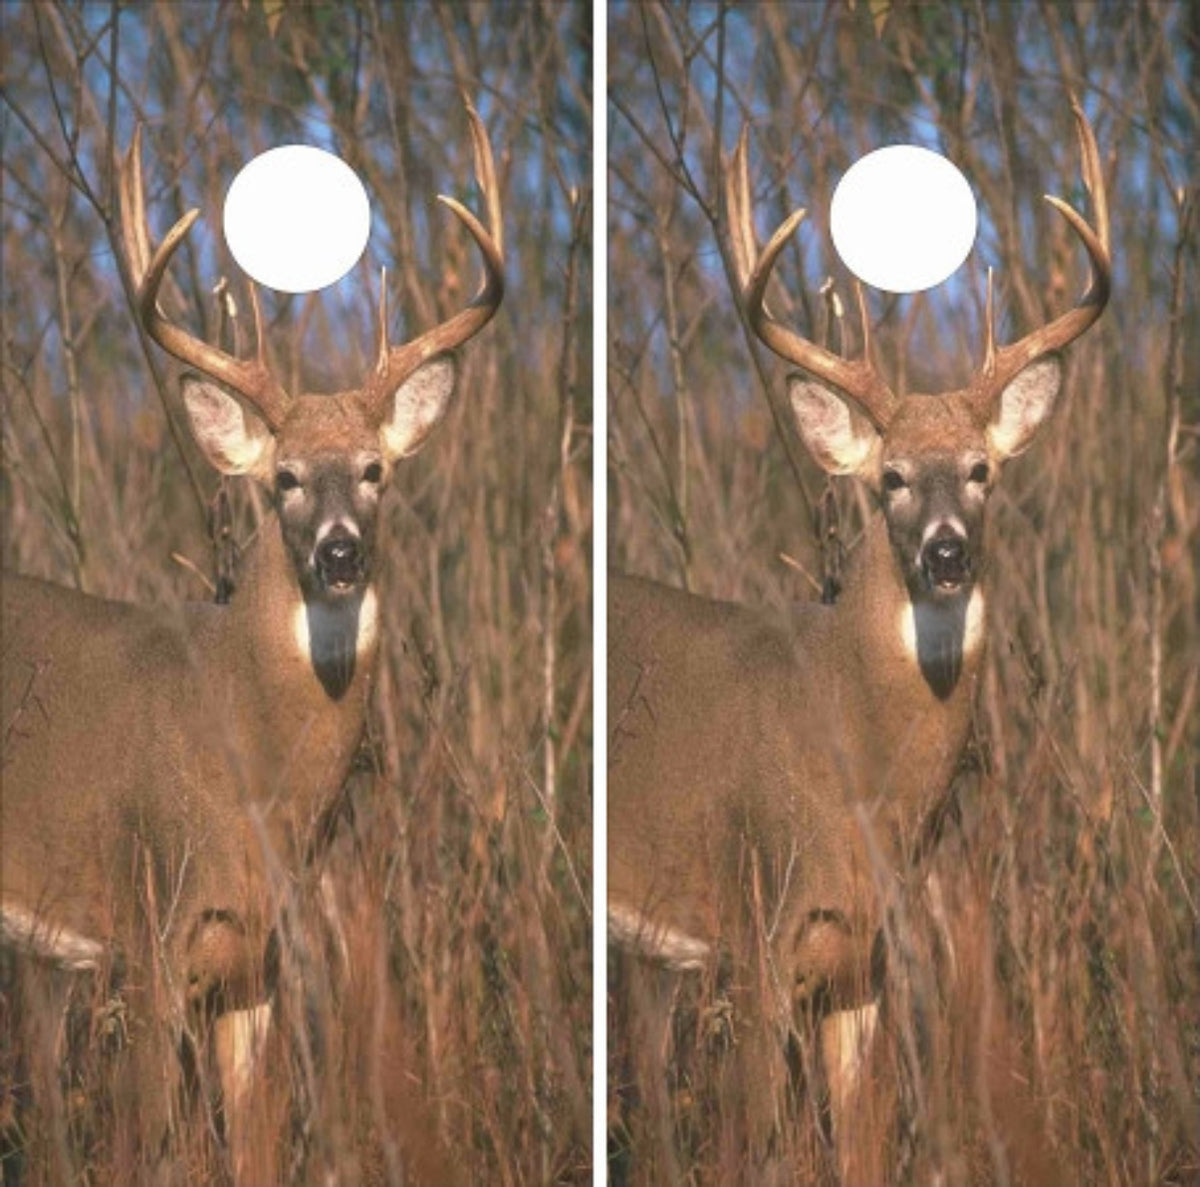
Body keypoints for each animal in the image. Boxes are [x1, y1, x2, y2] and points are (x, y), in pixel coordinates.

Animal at [0, 106, 503, 1179]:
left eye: (374, 470)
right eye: (283, 480)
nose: (340, 551)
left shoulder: (257, 967)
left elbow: (259, 1146)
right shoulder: (144, 931)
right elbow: (145, 1146)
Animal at [608, 97, 1110, 1180]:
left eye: (981, 470)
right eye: (891, 480)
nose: (947, 552)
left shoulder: (864, 966)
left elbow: (866, 1147)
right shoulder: (755, 935)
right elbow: (756, 1145)